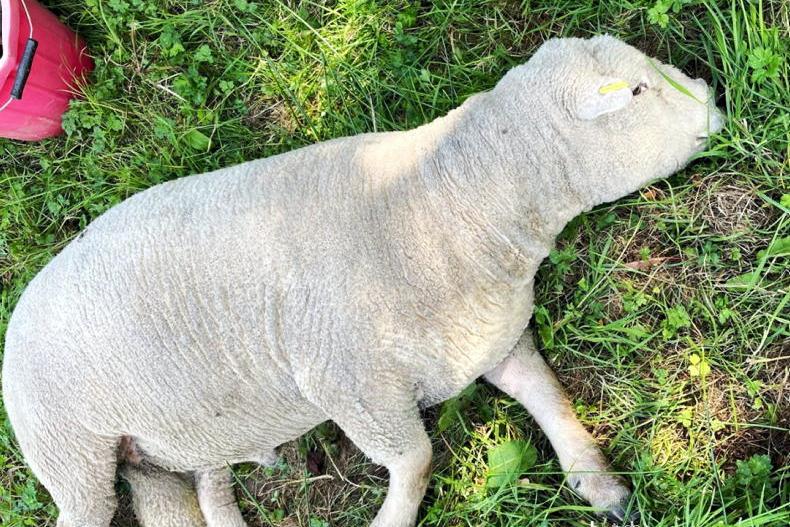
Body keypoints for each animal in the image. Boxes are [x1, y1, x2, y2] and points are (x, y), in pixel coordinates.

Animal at [2, 34, 723, 527]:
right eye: (637, 92)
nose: (714, 99)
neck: (450, 197)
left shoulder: (488, 339)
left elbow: (550, 397)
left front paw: (600, 484)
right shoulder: (347, 381)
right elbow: (417, 459)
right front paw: (393, 518)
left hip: (154, 454)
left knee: (184, 497)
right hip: (70, 451)